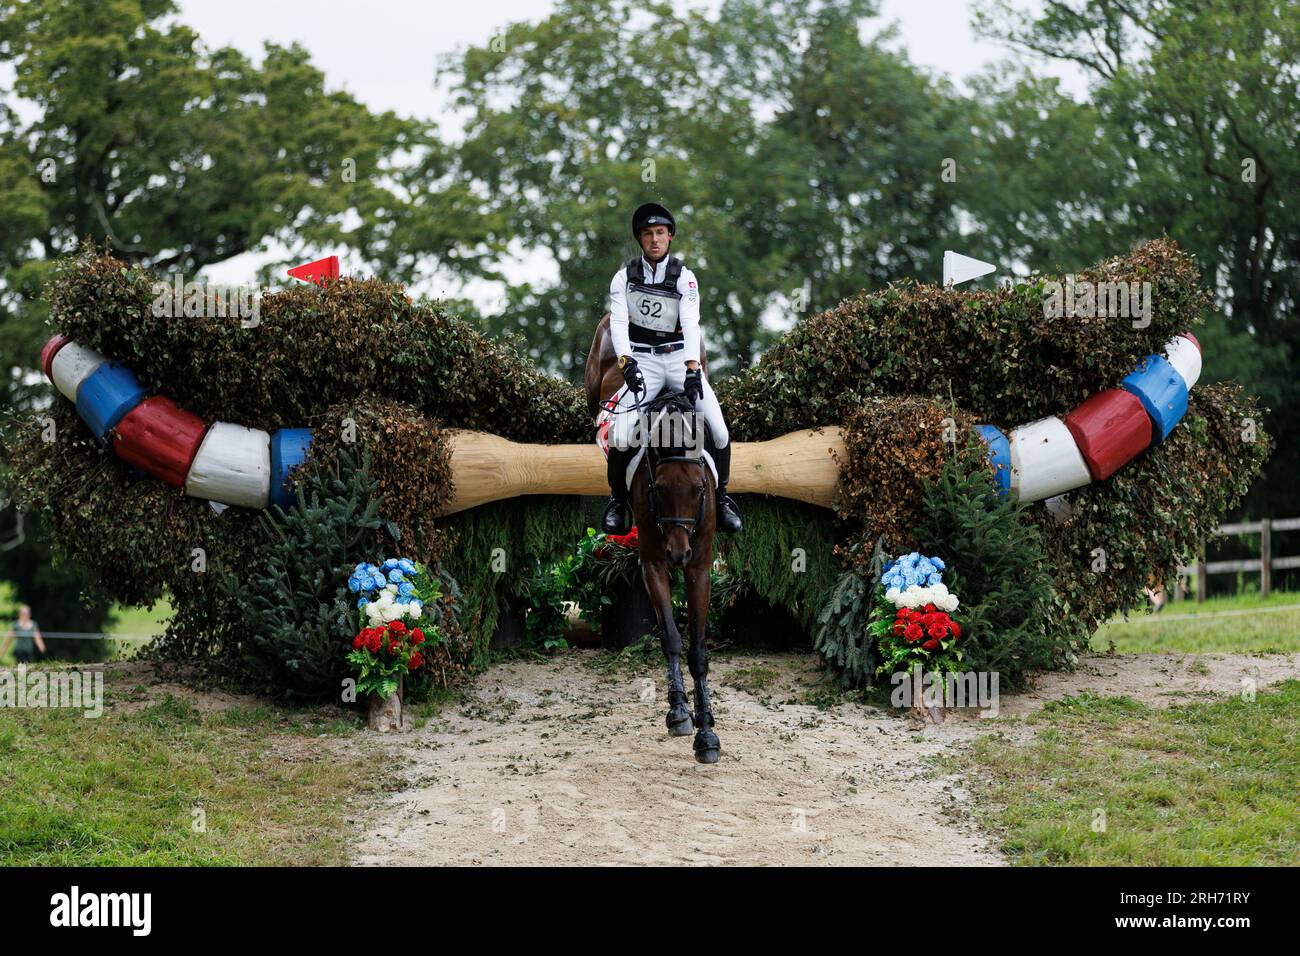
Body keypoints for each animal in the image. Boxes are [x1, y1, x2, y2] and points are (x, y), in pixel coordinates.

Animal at [587, 314, 722, 764]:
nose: (677, 552)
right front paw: (680, 714)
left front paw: (708, 731)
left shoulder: (700, 568)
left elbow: (698, 649)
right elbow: (672, 638)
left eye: (699, 489)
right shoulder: (652, 564)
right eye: (658, 488)